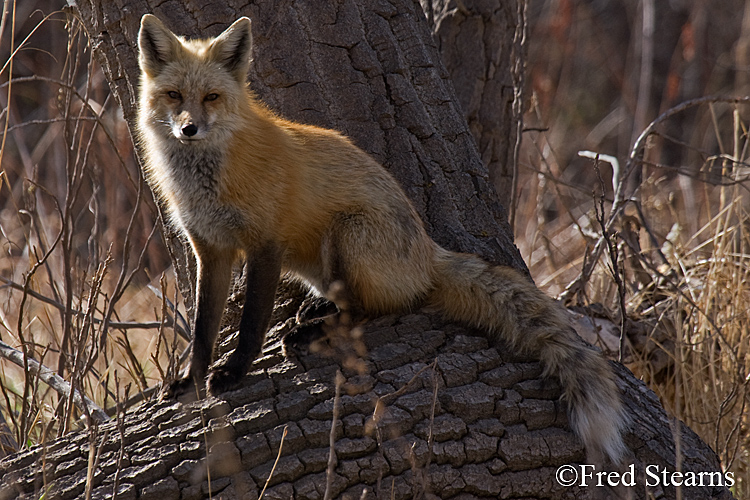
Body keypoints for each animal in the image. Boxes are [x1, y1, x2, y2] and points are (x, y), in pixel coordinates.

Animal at [135, 13, 628, 462]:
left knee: (372, 309)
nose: (188, 129)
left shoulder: (265, 243)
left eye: (212, 97)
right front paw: (190, 380)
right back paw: (317, 311)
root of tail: (429, 252)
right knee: (356, 300)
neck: (207, 178)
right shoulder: (210, 249)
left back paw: (312, 328)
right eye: (175, 96)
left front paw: (235, 372)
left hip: (347, 232)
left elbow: (252, 323)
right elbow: (202, 328)